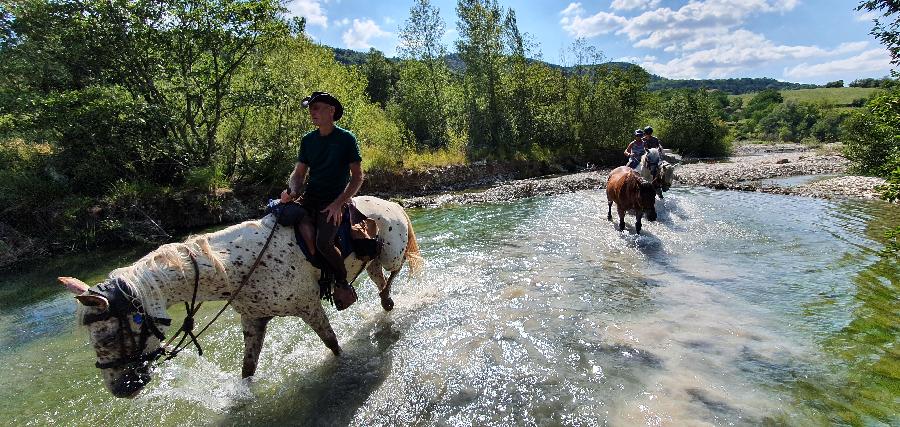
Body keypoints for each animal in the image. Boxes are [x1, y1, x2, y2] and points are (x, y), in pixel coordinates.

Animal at [60, 196, 426, 400]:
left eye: (108, 334)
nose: (120, 389)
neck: (240, 265)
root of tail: (392, 204)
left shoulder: (309, 308)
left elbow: (332, 344)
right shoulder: (253, 320)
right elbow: (247, 370)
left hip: (390, 254)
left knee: (393, 276)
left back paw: (387, 300)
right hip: (371, 262)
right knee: (381, 284)